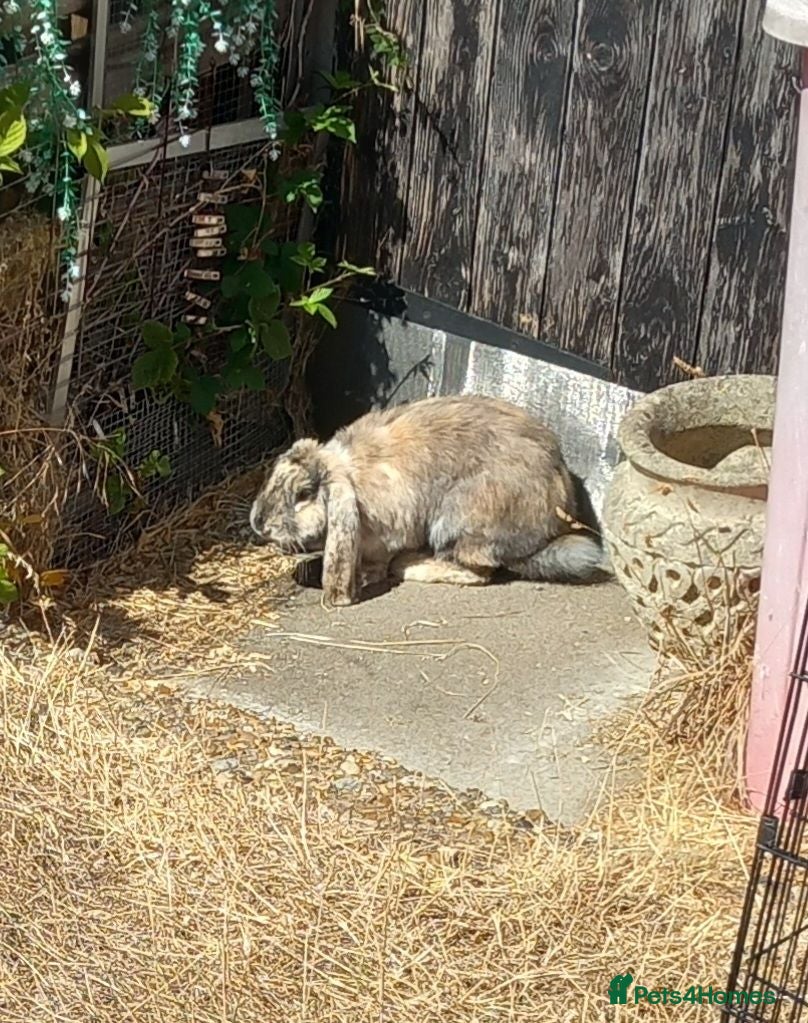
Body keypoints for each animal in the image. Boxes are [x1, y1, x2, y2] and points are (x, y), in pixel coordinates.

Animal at [249, 394, 606, 606]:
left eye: (303, 495)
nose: (258, 523)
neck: (350, 476)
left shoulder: (383, 537)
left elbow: (374, 564)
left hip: (456, 521)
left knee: (479, 572)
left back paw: (412, 565)